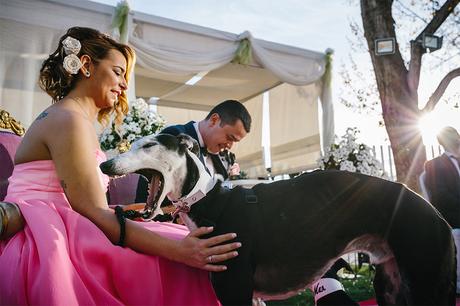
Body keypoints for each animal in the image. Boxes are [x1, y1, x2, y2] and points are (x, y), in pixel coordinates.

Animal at [99, 133, 454, 304]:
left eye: (148, 145)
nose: (104, 165)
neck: (210, 200)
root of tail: (437, 215)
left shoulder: (235, 291)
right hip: (392, 286)